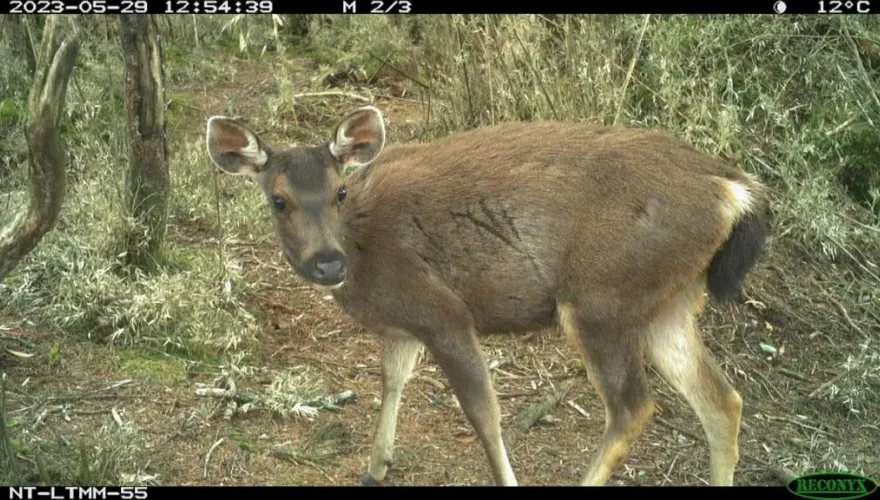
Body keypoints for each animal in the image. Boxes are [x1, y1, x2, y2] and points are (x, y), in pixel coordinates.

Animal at [204, 105, 771, 487]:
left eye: (339, 191)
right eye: (278, 200)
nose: (327, 263)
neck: (366, 256)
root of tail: (735, 191)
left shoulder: (443, 313)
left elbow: (483, 414)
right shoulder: (403, 325)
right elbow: (392, 381)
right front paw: (375, 467)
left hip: (601, 297)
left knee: (634, 406)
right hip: (668, 300)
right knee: (722, 399)